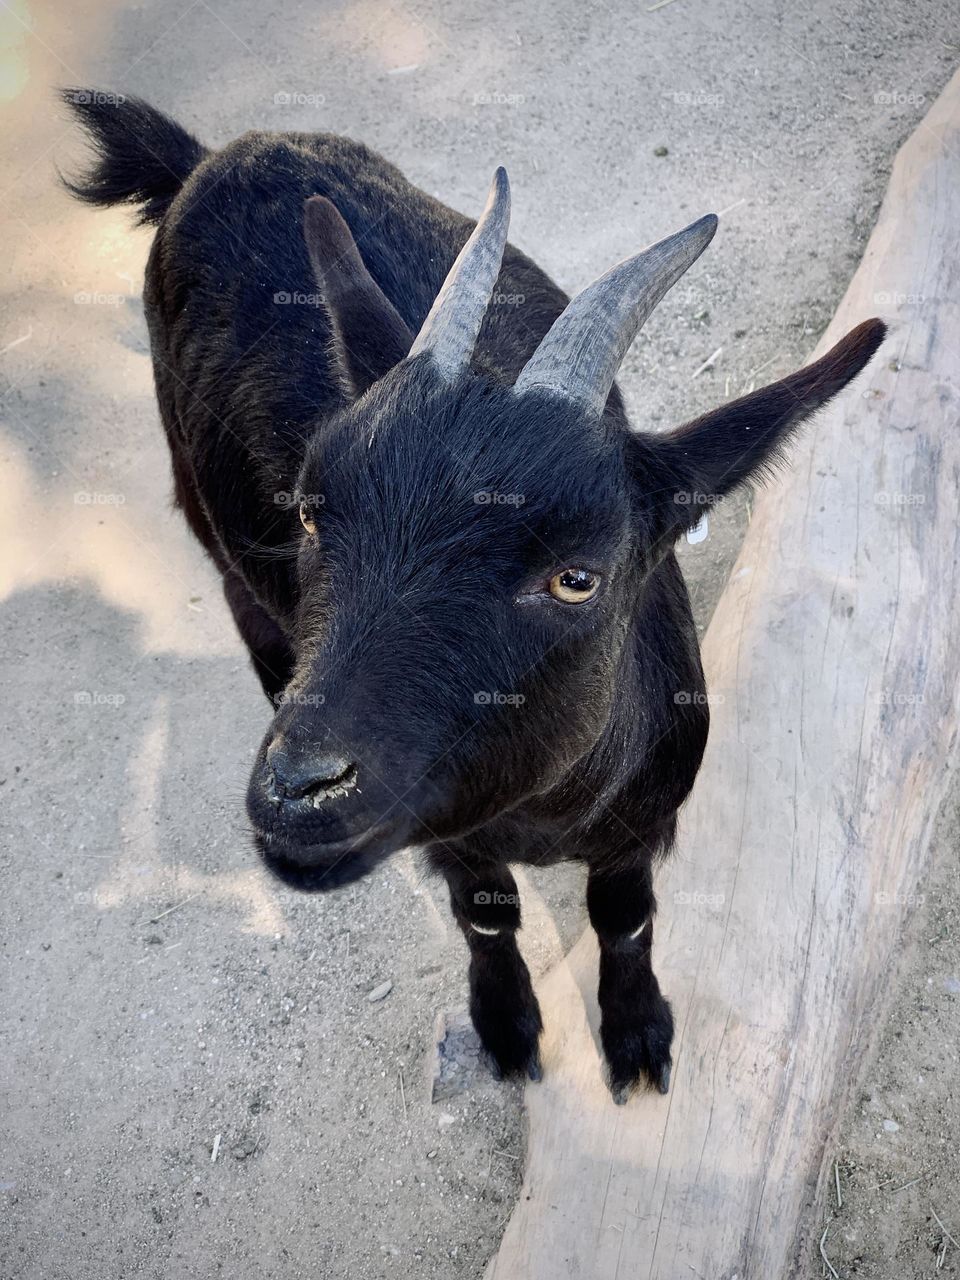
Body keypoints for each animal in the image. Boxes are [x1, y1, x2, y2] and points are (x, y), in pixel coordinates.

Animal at [63, 90, 885, 1101]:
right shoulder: (453, 836)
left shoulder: (645, 818)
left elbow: (624, 916)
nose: (300, 793)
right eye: (310, 512)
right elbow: (485, 912)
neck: (542, 809)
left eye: (577, 576)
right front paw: (506, 1026)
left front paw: (637, 1034)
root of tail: (205, 158)